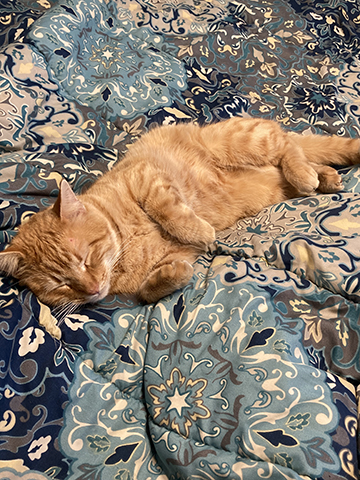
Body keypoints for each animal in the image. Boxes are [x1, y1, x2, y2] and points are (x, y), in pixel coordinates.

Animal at [0, 116, 360, 308]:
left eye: (86, 258)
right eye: (61, 284)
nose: (91, 290)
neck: (124, 249)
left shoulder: (147, 177)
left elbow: (169, 211)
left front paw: (199, 230)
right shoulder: (177, 256)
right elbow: (151, 290)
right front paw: (171, 275)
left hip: (242, 141)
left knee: (288, 144)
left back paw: (306, 174)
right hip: (271, 180)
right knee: (298, 155)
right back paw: (325, 177)